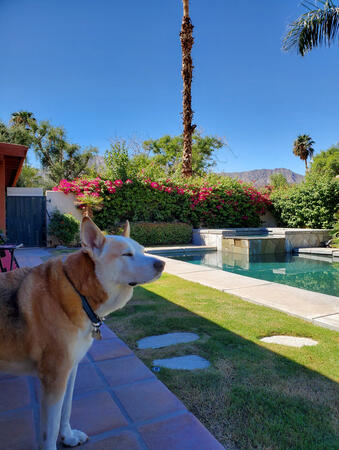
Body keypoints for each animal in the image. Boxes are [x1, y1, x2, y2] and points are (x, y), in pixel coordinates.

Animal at [0, 216, 165, 448]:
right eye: (127, 254)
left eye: (143, 250)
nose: (162, 264)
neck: (79, 292)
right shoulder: (54, 376)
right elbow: (49, 430)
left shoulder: (70, 369)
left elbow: (66, 409)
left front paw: (68, 437)